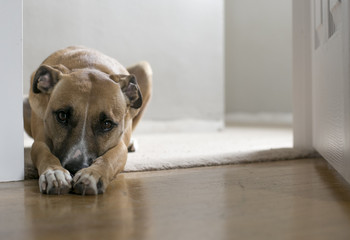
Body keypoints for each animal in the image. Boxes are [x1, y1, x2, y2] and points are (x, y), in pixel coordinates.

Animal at [22, 46, 152, 195]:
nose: (74, 168)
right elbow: (44, 152)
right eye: (62, 116)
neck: (89, 66)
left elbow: (109, 158)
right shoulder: (40, 140)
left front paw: (93, 174)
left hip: (144, 69)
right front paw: (54, 173)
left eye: (107, 124)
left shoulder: (119, 146)